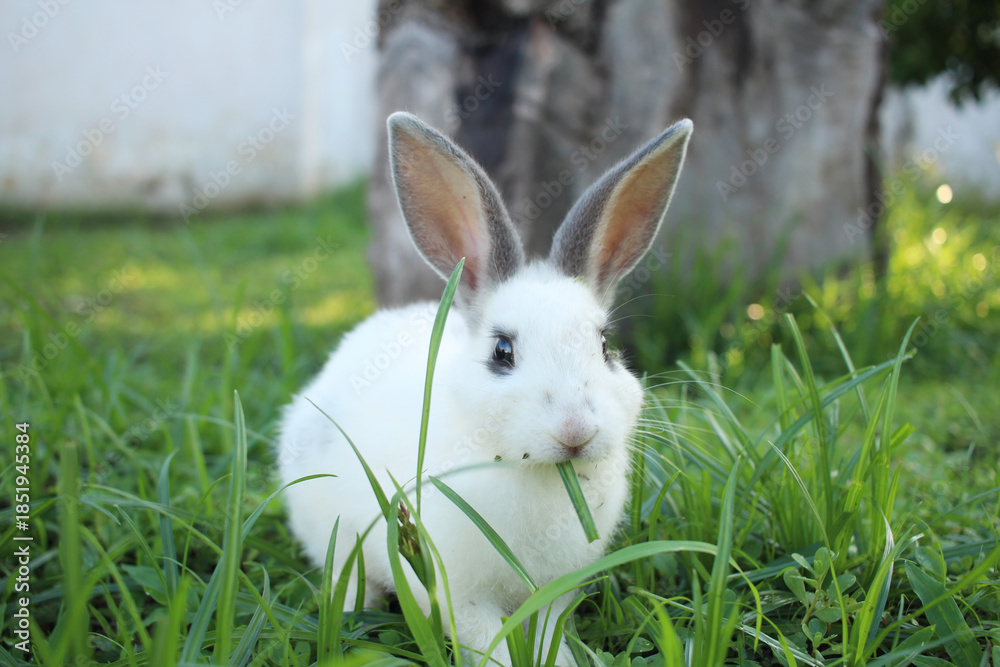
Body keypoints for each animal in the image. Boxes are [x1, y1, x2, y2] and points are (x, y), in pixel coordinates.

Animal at [278, 111, 692, 666]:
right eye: (502, 351)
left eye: (606, 346)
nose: (575, 430)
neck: (534, 471)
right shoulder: (461, 596)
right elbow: (488, 642)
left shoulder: (554, 594)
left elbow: (548, 636)